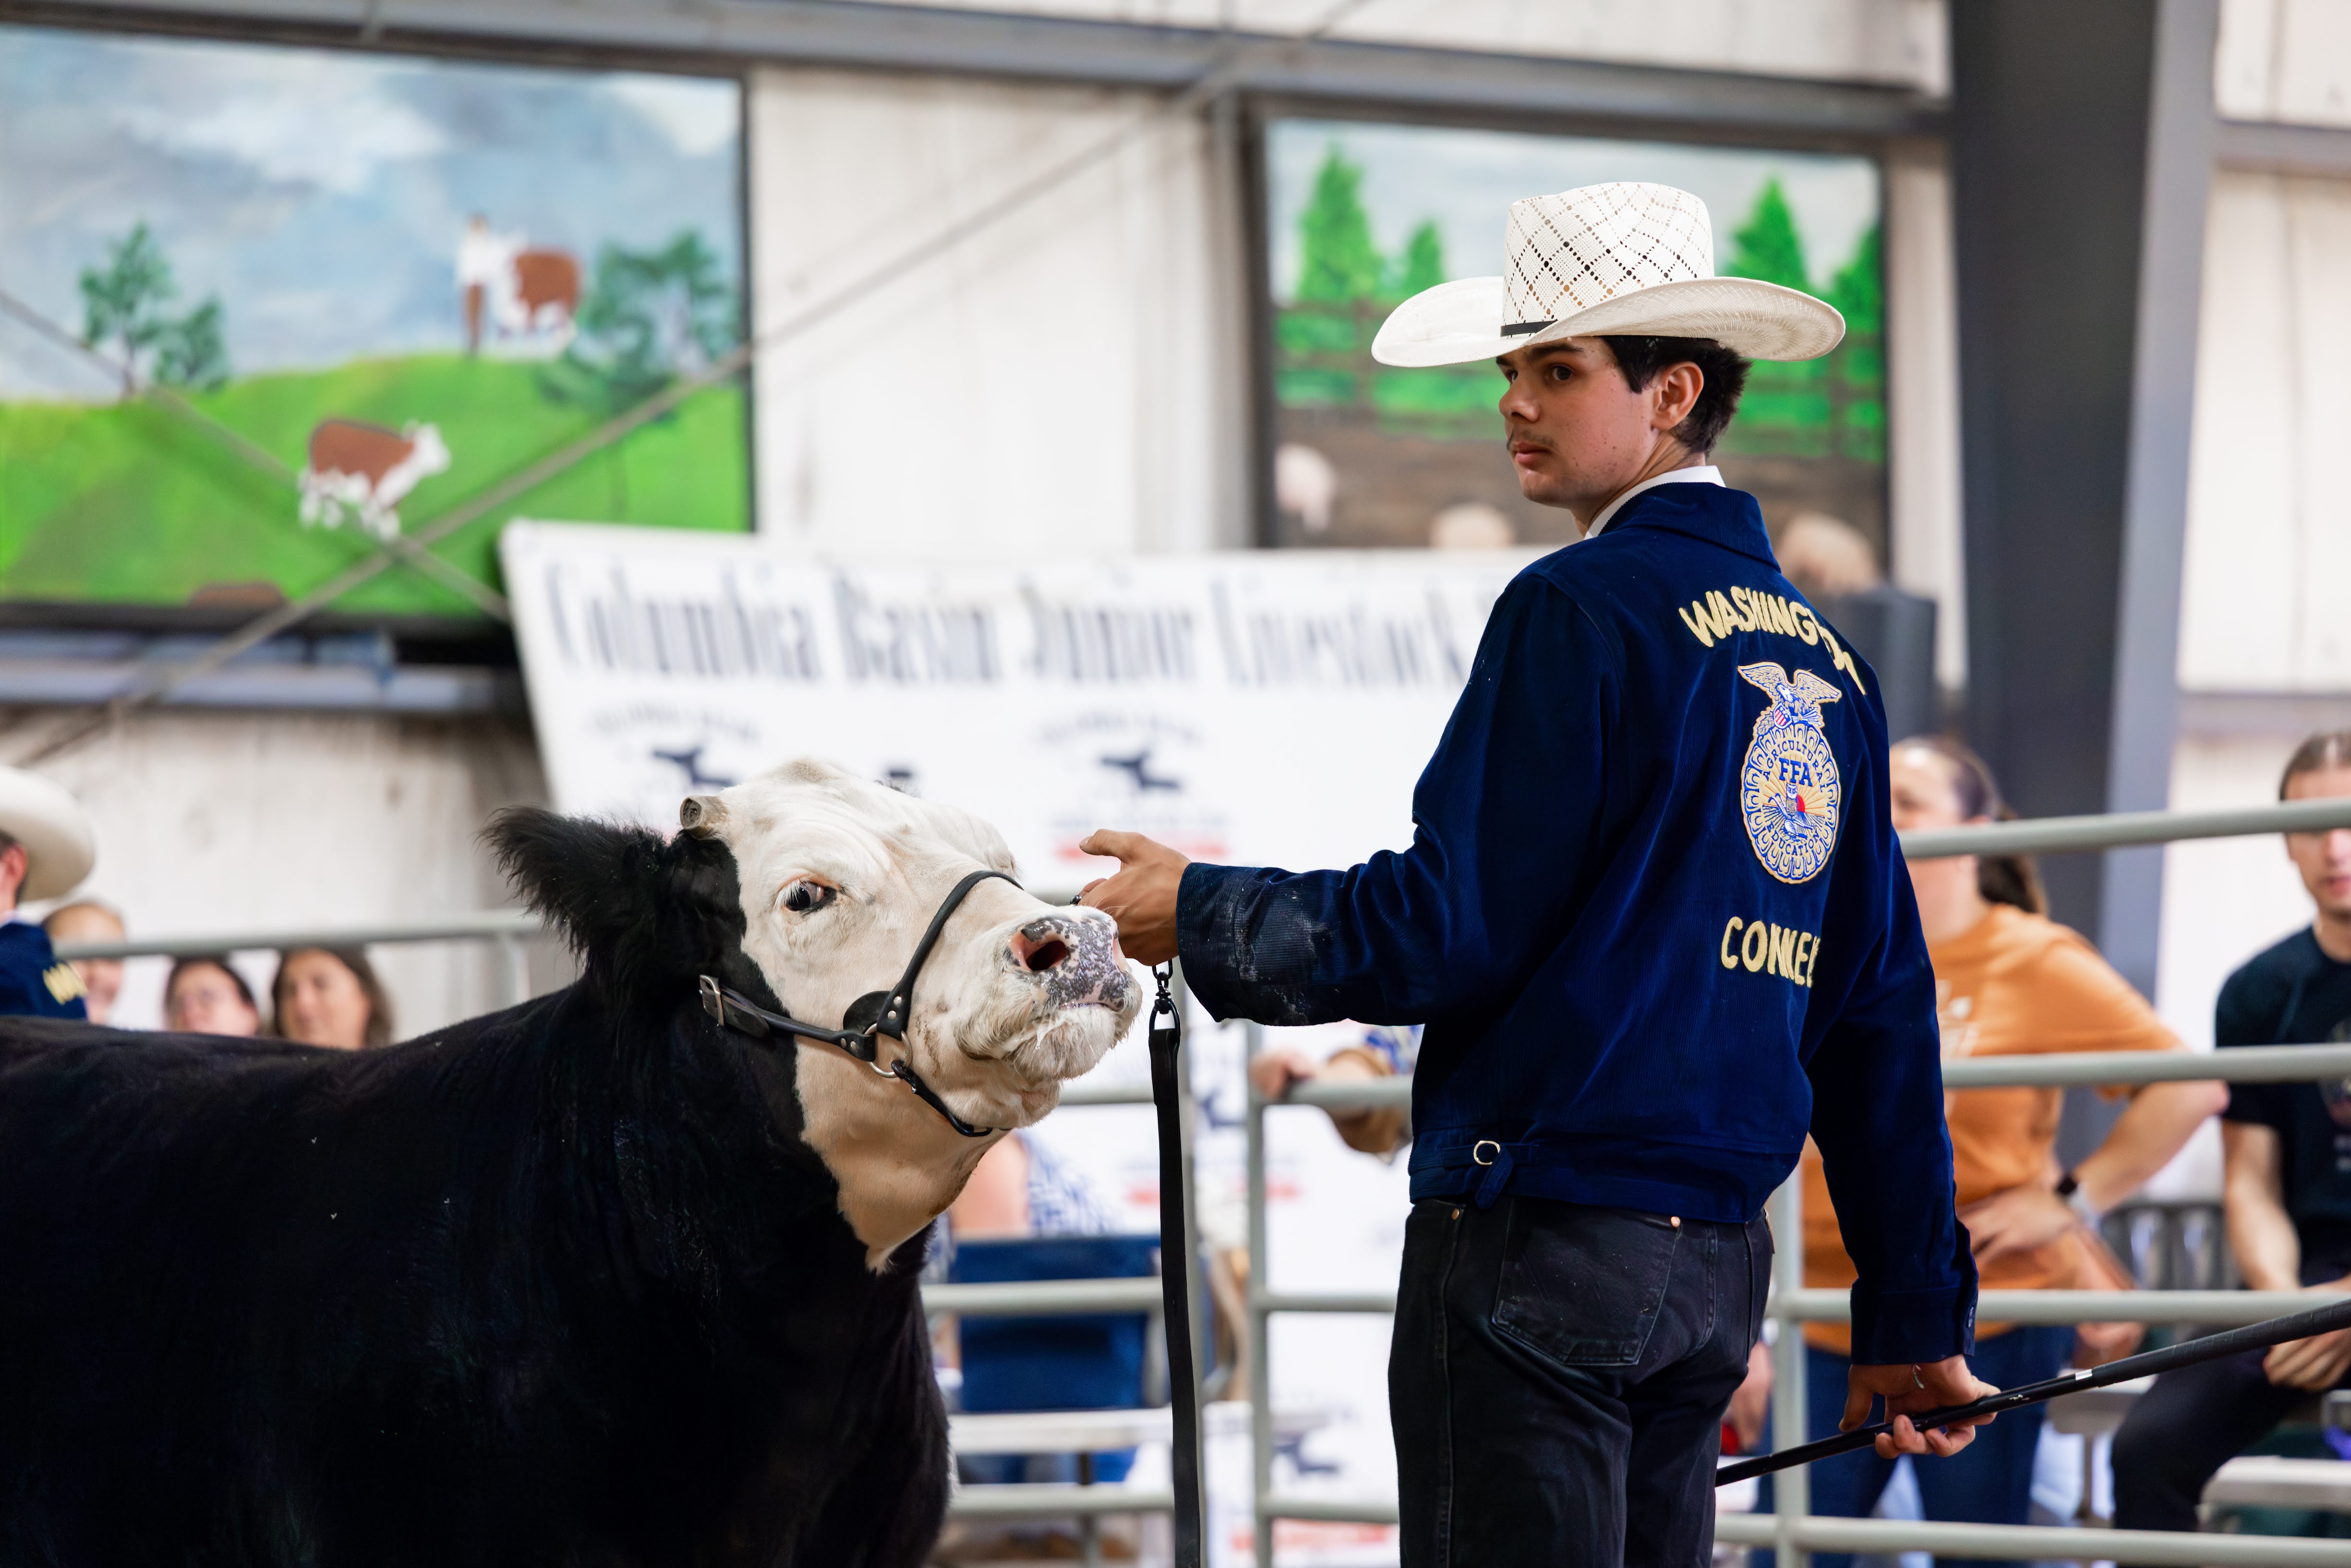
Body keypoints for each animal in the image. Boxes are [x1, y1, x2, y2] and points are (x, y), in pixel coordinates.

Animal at [297, 418, 451, 541]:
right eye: (430, 449)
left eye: (439, 445)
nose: (447, 459)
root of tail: (323, 425)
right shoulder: (374, 481)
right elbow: (372, 505)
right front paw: (369, 519)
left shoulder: (392, 497)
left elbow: (390, 517)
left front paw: (389, 533)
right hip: (322, 466)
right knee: (314, 488)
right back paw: (310, 513)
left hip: (328, 473)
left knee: (321, 489)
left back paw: (332, 516)